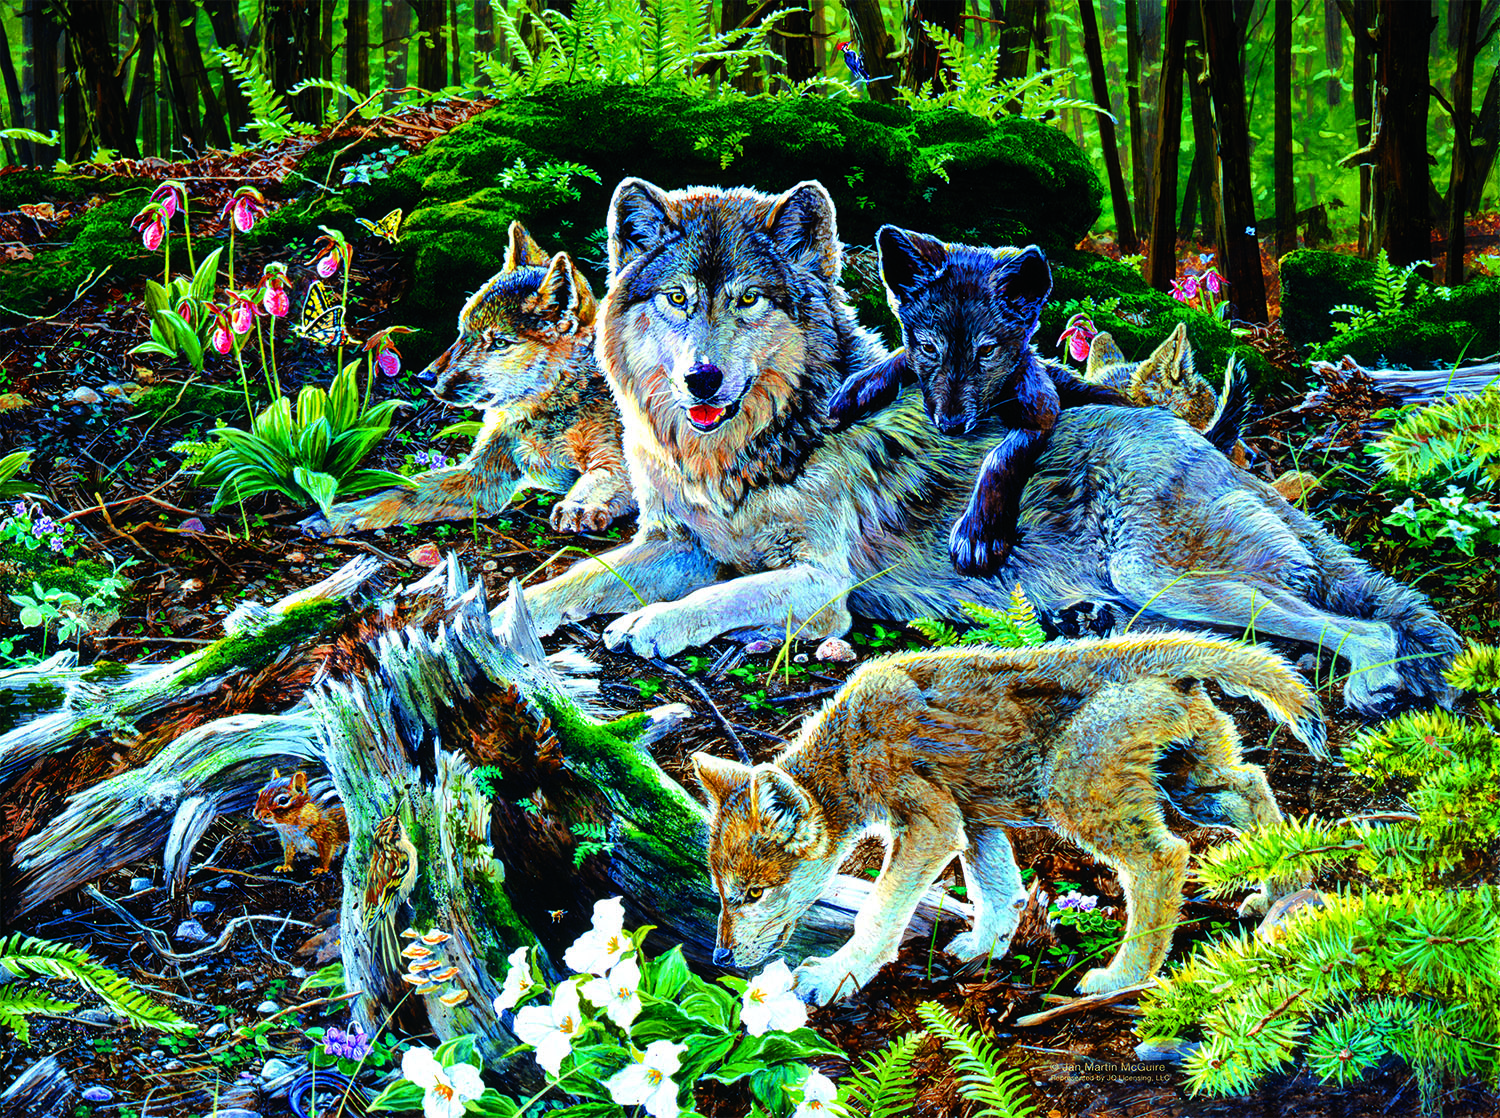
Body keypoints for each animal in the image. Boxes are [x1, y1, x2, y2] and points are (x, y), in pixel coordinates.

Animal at [301, 223, 634, 537]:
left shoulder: (617, 464)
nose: (425, 378)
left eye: (499, 343)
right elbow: (397, 493)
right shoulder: (481, 478)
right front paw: (333, 516)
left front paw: (578, 504)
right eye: (462, 331)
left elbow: (599, 478)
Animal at [509, 178, 1459, 716]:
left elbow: (712, 601)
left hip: (1168, 573)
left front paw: (650, 624)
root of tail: (1212, 449)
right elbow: (575, 580)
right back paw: (1083, 623)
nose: (703, 380)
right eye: (677, 298)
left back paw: (1372, 684)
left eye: (746, 300)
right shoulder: (675, 542)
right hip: (1167, 594)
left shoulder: (821, 582)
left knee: (1358, 626)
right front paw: (507, 614)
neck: (737, 453)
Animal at [692, 633, 1324, 1005]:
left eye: (753, 893)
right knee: (1254, 789)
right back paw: (1284, 900)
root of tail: (1160, 657)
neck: (847, 748)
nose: (719, 959)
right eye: (721, 891)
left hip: (1077, 795)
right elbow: (999, 891)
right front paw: (984, 947)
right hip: (1191, 780)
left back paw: (1124, 978)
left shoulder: (928, 824)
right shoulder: (972, 818)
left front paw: (829, 978)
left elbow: (878, 912)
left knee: (1165, 858)